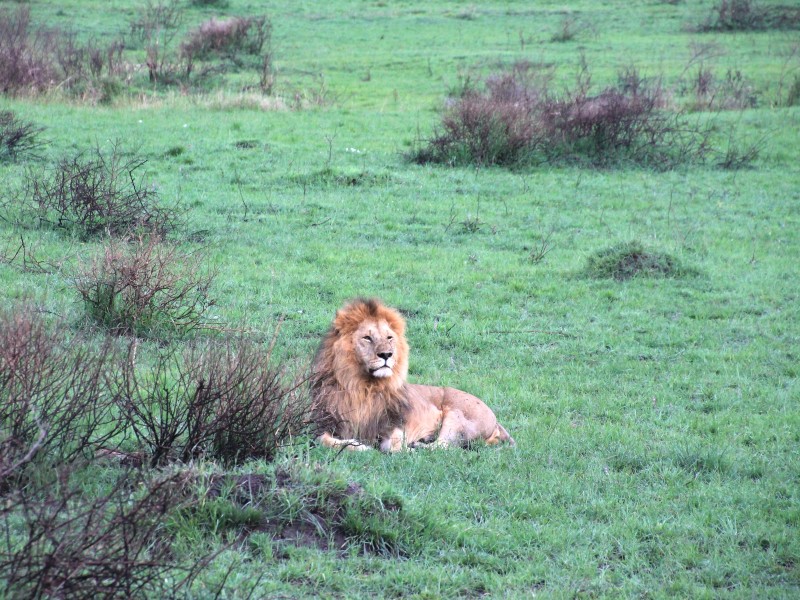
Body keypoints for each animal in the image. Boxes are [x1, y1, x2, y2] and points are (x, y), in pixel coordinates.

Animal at [310, 298, 514, 452]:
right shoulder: (320, 424)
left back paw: (420, 445)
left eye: (389, 337)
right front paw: (358, 445)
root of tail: (496, 420)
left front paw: (401, 448)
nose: (386, 354)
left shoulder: (395, 423)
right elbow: (324, 440)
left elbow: (394, 444)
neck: (363, 386)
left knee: (444, 446)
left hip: (458, 417)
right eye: (367, 338)